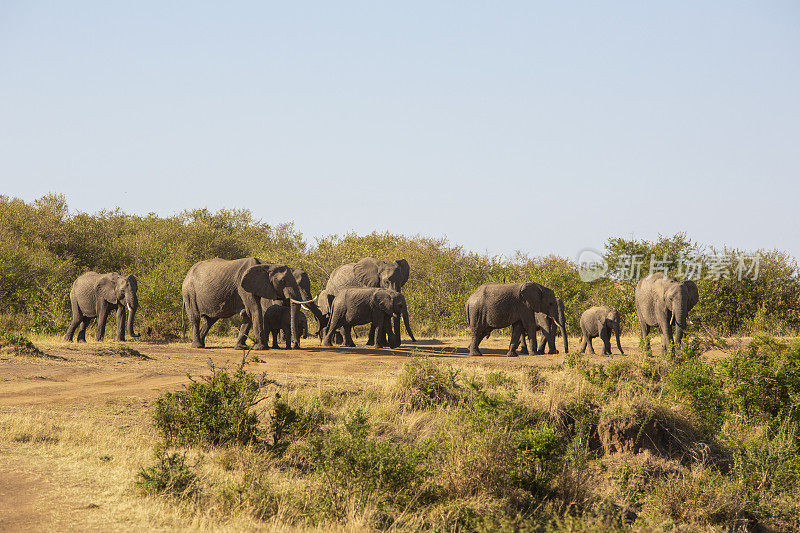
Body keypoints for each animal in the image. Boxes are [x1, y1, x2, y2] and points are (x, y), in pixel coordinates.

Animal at [181, 256, 312, 350]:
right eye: (282, 281)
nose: (296, 345)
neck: (266, 264)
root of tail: (187, 273)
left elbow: (248, 314)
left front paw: (241, 347)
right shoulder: (243, 286)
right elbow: (254, 310)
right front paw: (260, 348)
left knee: (209, 320)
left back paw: (202, 344)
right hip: (189, 292)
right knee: (195, 317)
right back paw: (197, 346)